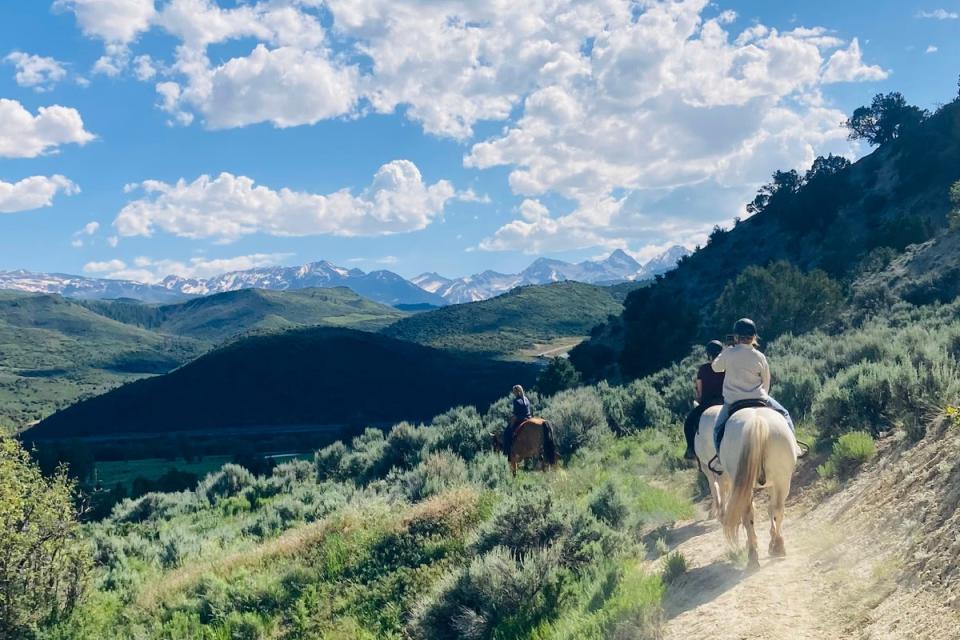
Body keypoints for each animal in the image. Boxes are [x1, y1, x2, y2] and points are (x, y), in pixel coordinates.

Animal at [720, 408, 796, 568]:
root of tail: (757, 420)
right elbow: (771, 509)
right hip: (782, 480)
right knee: (776, 509)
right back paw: (775, 546)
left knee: (750, 513)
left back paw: (755, 553)